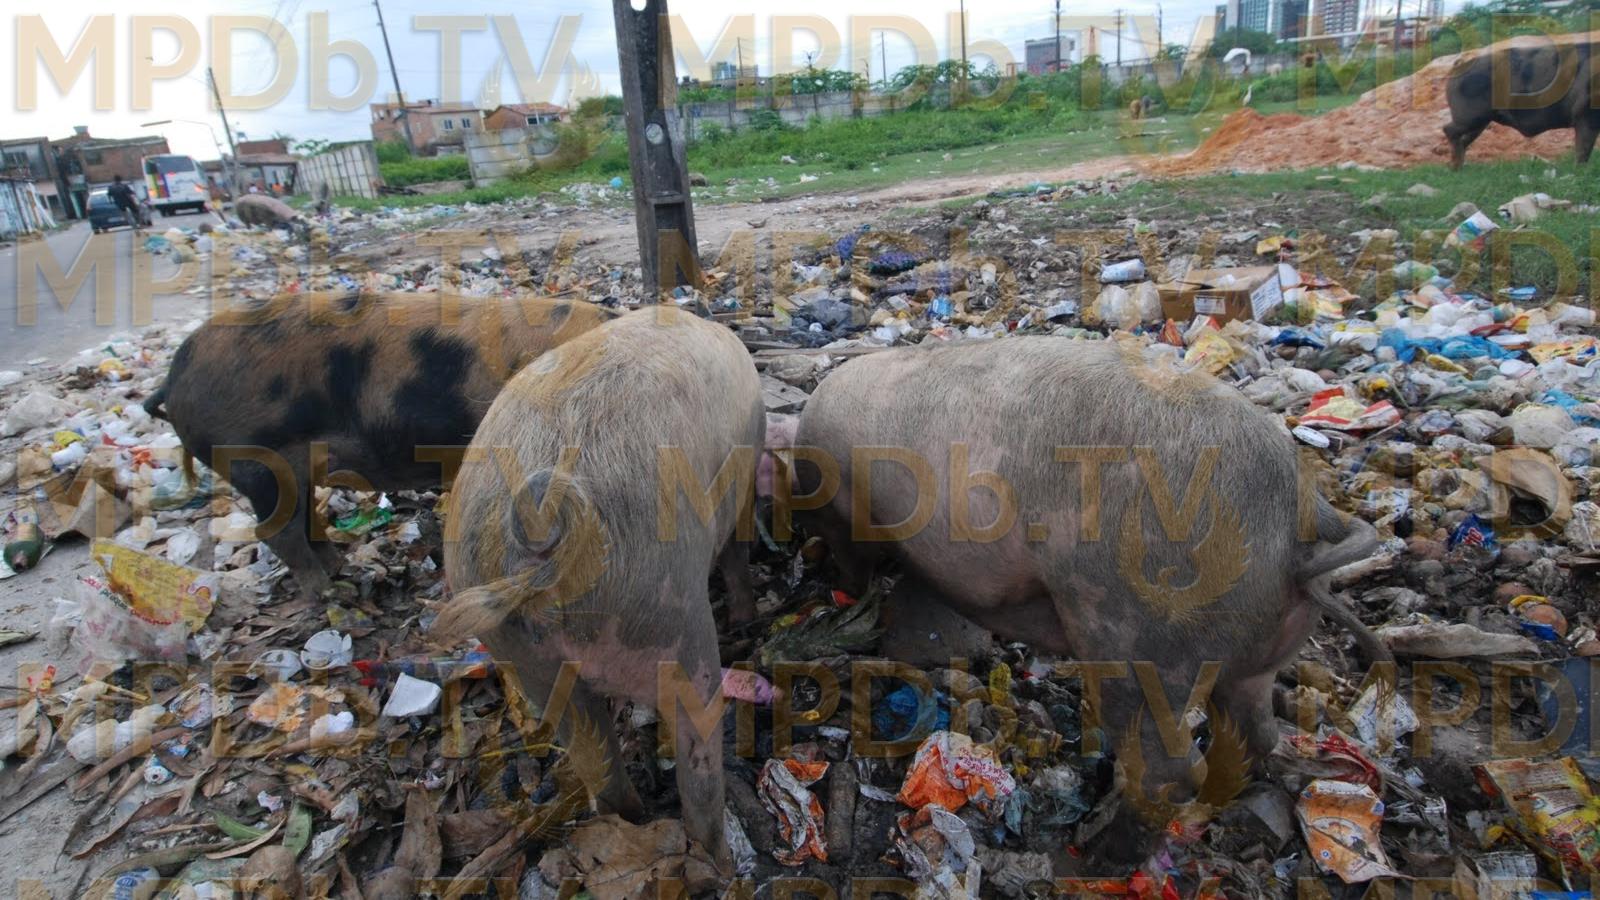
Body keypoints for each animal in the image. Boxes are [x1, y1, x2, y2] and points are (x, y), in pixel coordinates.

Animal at [143, 291, 615, 596]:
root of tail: (173, 376)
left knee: (304, 517)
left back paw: (339, 570)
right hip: (253, 459)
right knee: (276, 531)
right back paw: (327, 596)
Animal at [428, 306, 763, 869]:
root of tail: (540, 553)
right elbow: (738, 550)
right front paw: (746, 614)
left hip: (527, 661)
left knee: (592, 757)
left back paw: (631, 819)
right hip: (669, 619)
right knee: (697, 757)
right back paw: (722, 864)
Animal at [784, 338, 1386, 852]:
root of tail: (1301, 523)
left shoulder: (843, 514)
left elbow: (854, 562)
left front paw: (848, 593)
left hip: (1138, 635)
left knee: (1168, 768)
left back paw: (1098, 852)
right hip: (1254, 659)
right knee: (1255, 732)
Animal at [1444, 37, 1598, 169]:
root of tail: (1456, 68)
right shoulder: (1585, 113)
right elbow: (1583, 148)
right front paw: (1580, 172)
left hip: (1481, 120)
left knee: (1463, 139)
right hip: (1469, 115)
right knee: (1448, 129)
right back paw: (1456, 167)